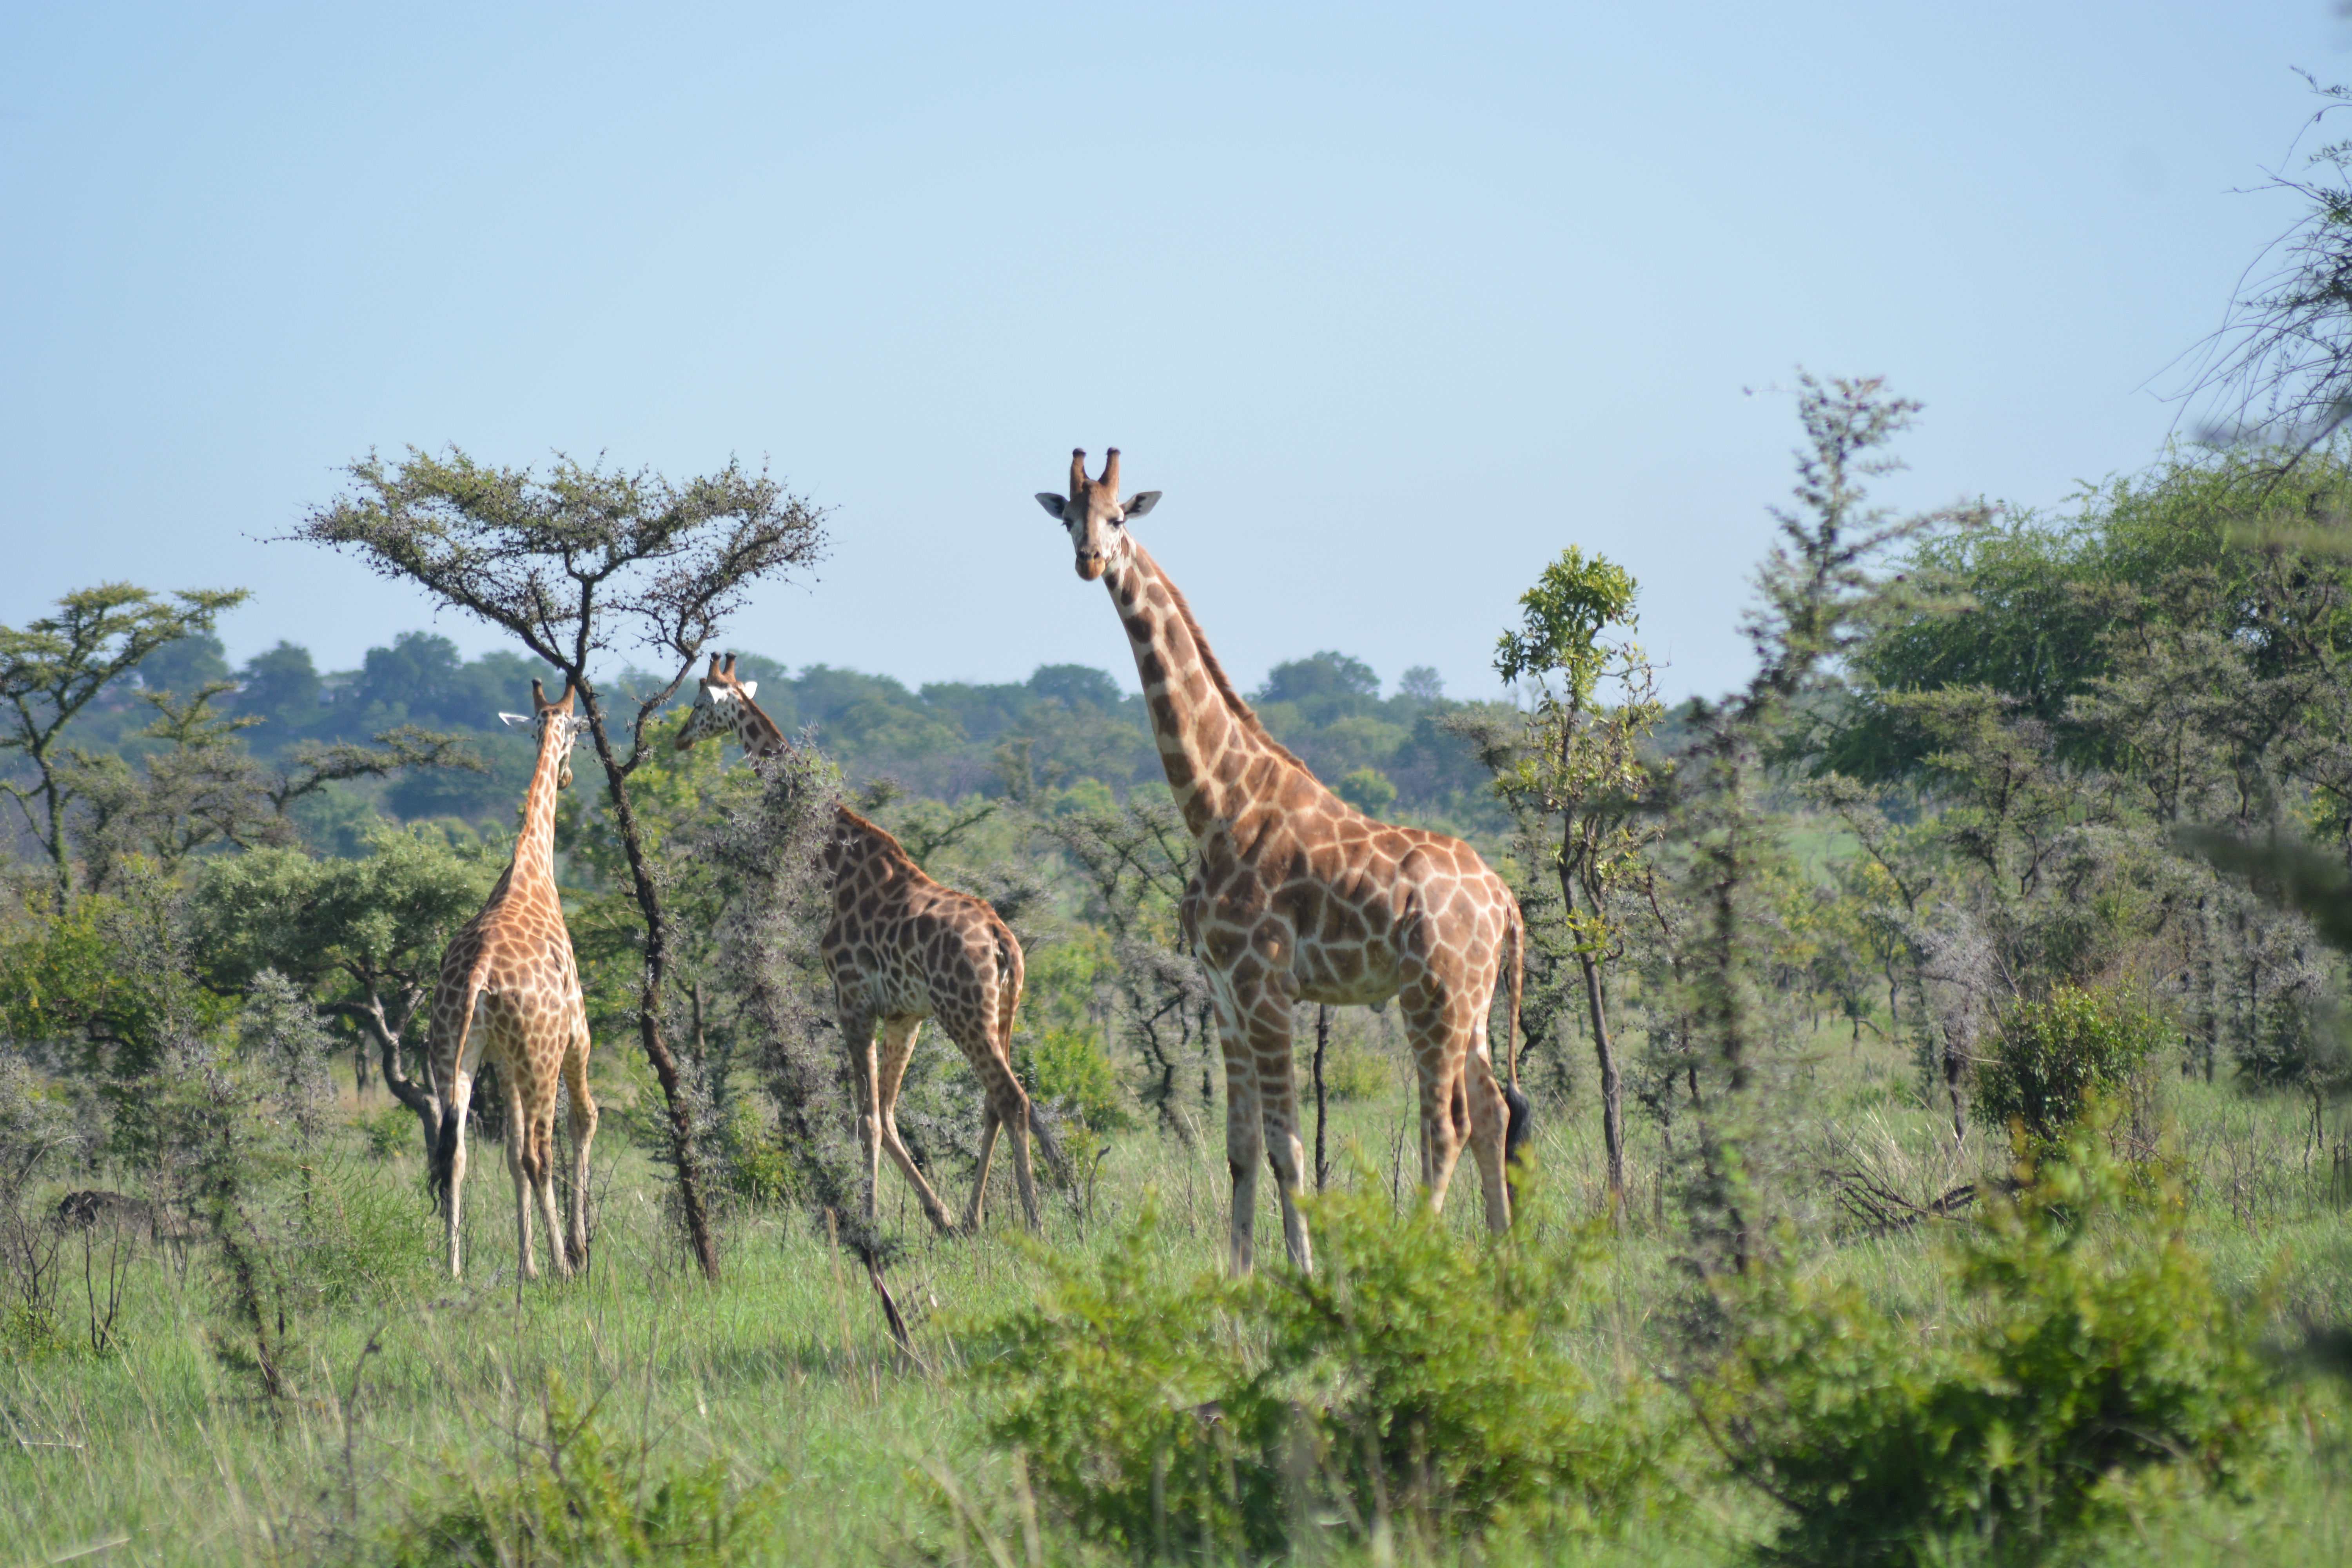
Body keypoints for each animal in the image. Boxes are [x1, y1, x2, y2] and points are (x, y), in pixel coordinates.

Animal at [427, 678, 598, 1279]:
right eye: (577, 734)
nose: (567, 776)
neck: (532, 866)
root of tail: (479, 974)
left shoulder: (503, 1055)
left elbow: (505, 1154)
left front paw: (527, 1267)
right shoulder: (577, 1033)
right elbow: (584, 1121)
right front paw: (573, 1250)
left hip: (451, 1048)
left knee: (455, 1151)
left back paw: (454, 1269)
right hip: (541, 1054)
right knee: (540, 1152)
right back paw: (566, 1268)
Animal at [675, 655, 1049, 1234]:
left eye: (697, 704)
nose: (678, 739)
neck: (836, 863)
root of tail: (1002, 939)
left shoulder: (852, 999)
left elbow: (866, 1118)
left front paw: (868, 1224)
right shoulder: (901, 1013)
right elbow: (889, 1116)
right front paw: (937, 1216)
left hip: (963, 1011)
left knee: (1012, 1097)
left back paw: (1033, 1220)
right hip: (1001, 1010)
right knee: (994, 1100)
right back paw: (972, 1216)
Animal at [1035, 448, 1526, 1275]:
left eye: (1121, 517)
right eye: (1069, 516)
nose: (1090, 560)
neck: (1214, 807)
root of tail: (1506, 900)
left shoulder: (1265, 990)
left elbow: (1288, 1149)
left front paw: (1305, 1273)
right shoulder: (1223, 995)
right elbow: (1238, 1148)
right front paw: (1237, 1278)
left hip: (1436, 993)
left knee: (1448, 1124)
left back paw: (1416, 1256)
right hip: (1477, 998)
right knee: (1491, 1112)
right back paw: (1500, 1255)